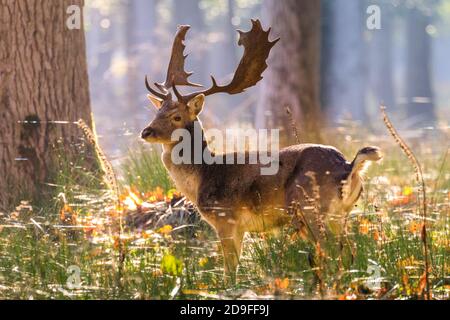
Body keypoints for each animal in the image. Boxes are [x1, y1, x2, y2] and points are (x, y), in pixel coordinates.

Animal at [140, 19, 380, 282]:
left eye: (176, 116)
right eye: (158, 111)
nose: (146, 132)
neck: (203, 175)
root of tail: (348, 167)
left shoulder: (225, 218)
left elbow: (230, 269)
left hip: (310, 208)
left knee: (329, 251)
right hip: (341, 213)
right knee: (349, 251)